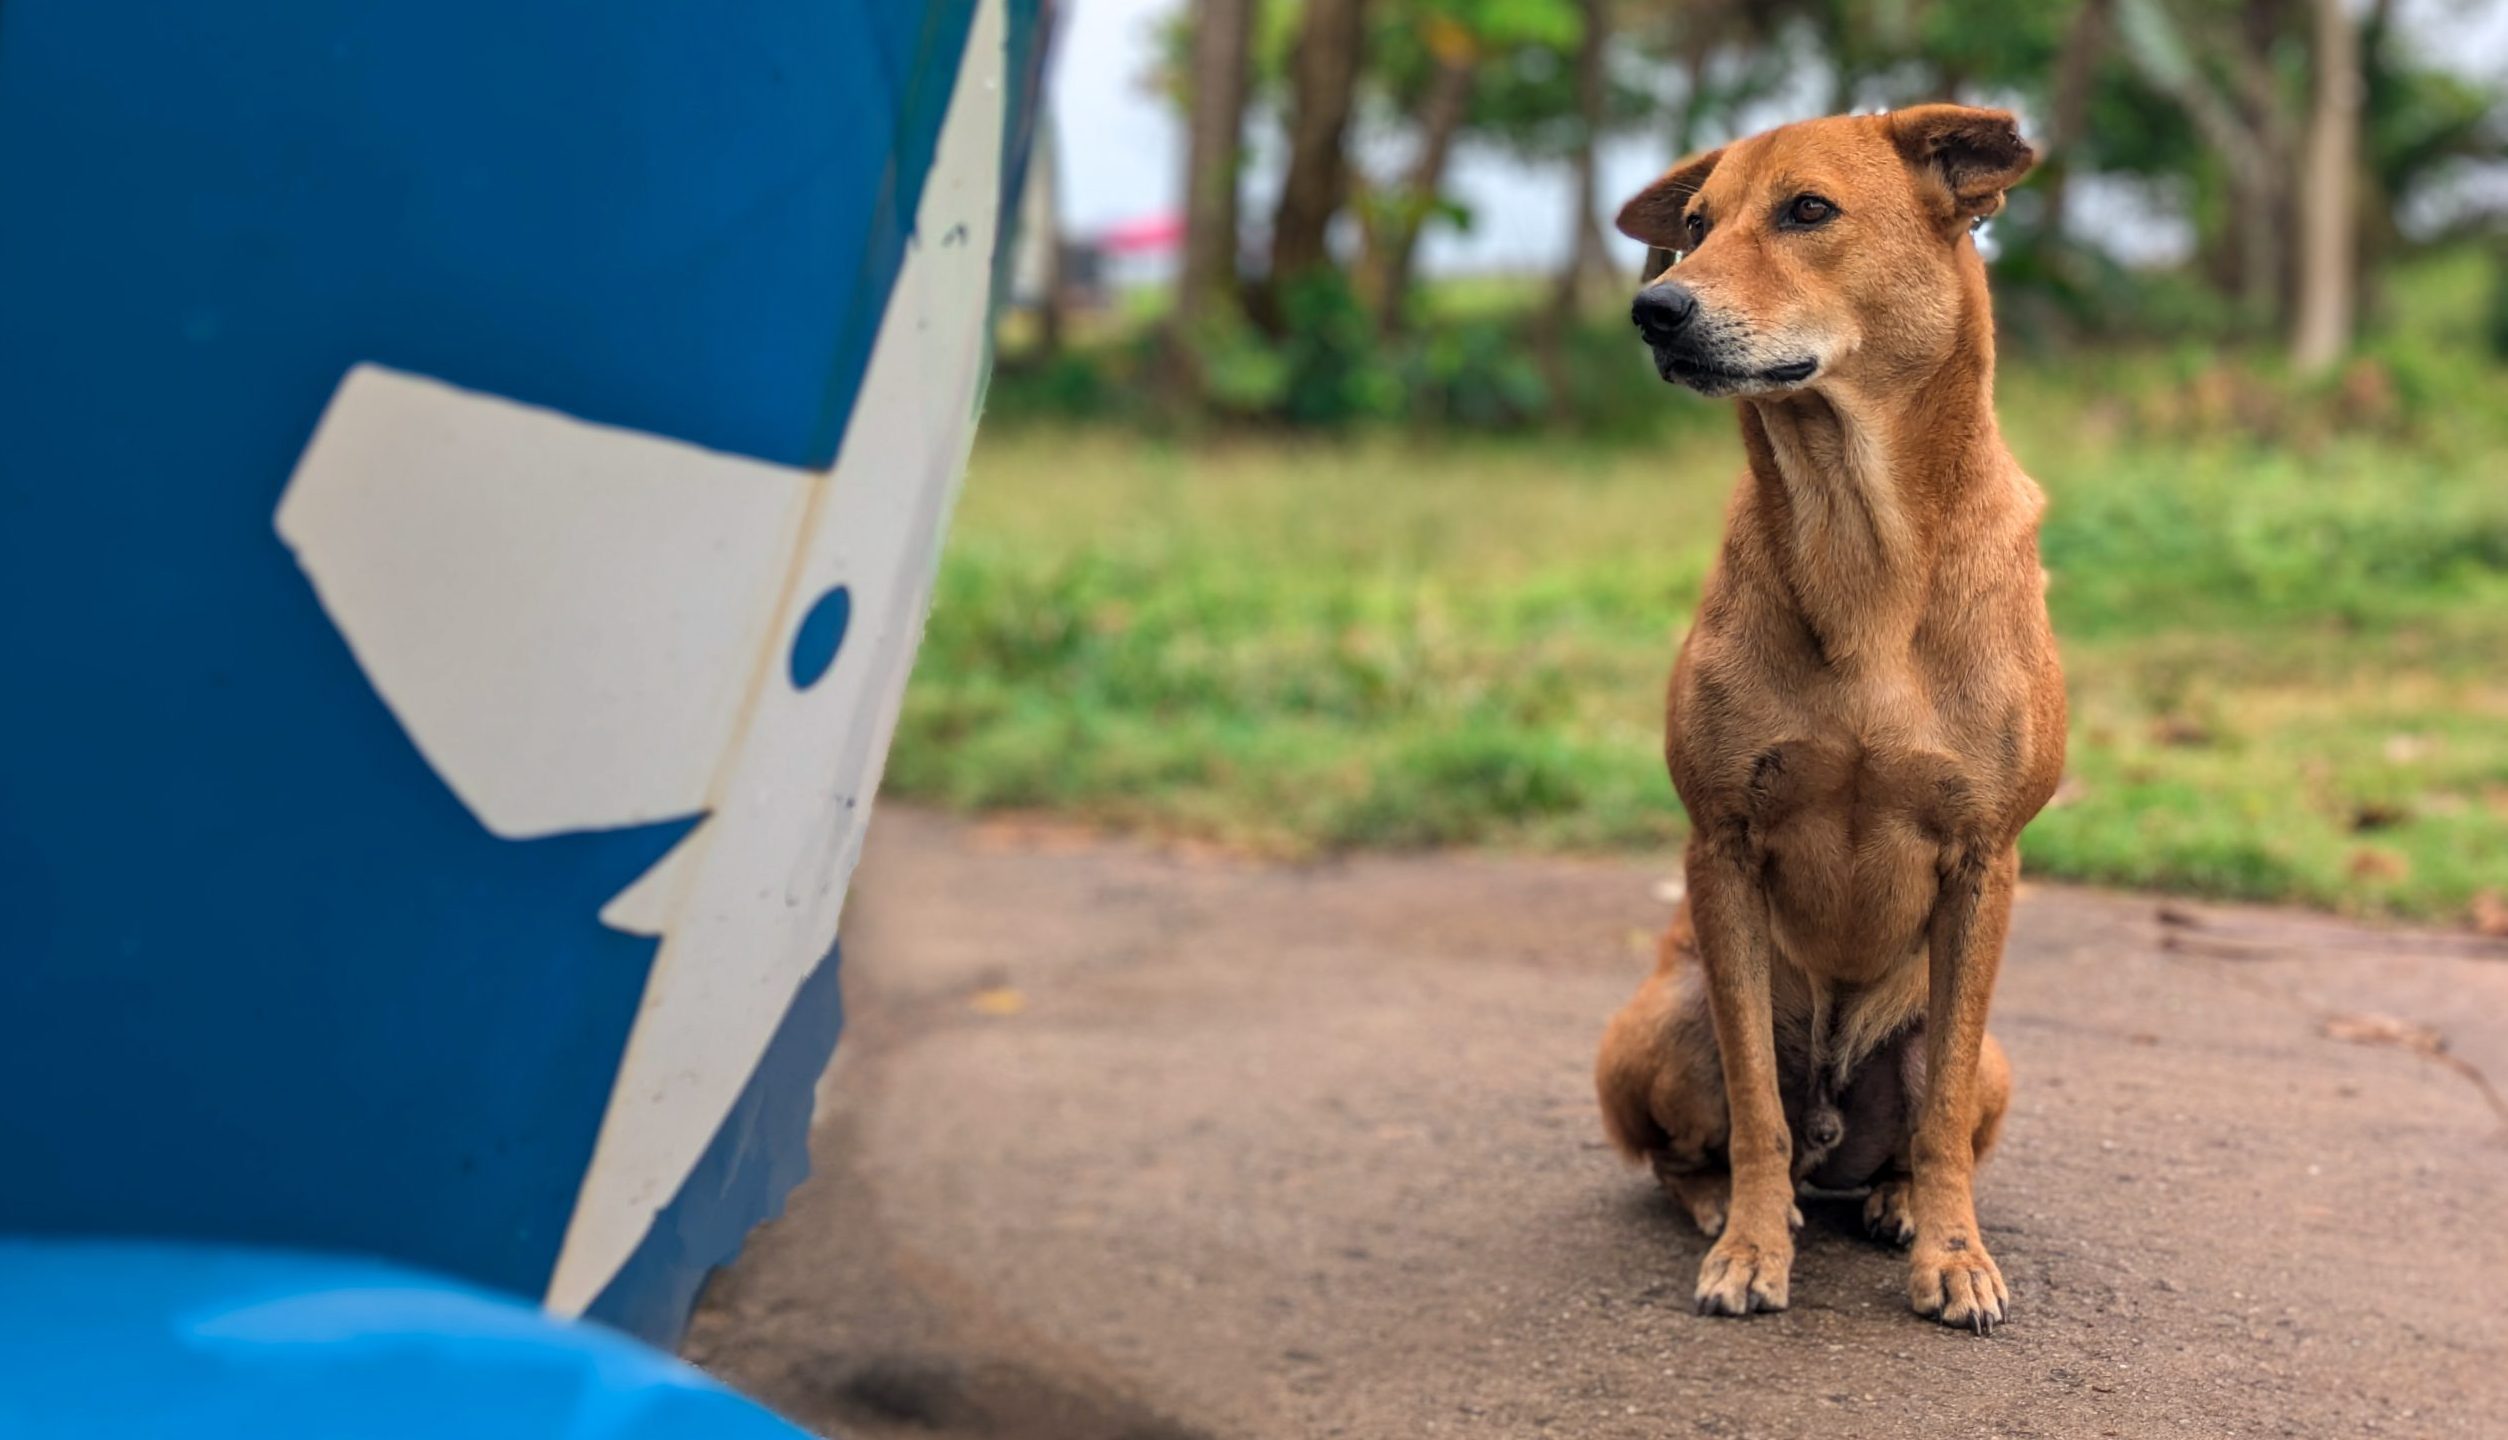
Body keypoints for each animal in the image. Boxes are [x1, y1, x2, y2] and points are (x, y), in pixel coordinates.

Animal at [1595, 107, 2066, 1334]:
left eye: (1808, 210)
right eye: (1694, 226)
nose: (1654, 309)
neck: (1862, 546)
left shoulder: (1984, 860)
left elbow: (1942, 1118)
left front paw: (1953, 1254)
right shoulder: (1721, 845)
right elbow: (1754, 1102)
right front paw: (1753, 1250)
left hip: (1991, 1052)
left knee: (1928, 1120)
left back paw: (1895, 1200)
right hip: (1658, 1018)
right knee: (1697, 1143)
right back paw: (1725, 1202)